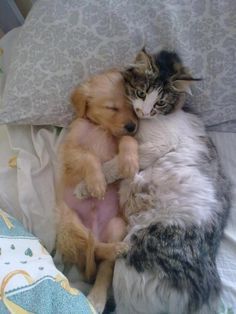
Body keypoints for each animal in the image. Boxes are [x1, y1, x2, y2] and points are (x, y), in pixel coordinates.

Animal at [56, 70, 138, 312]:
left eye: (132, 106)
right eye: (112, 108)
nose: (133, 125)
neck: (100, 127)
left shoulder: (123, 136)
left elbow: (128, 141)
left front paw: (129, 160)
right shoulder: (70, 149)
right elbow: (88, 156)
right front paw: (96, 183)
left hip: (117, 224)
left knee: (104, 264)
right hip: (69, 223)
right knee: (92, 248)